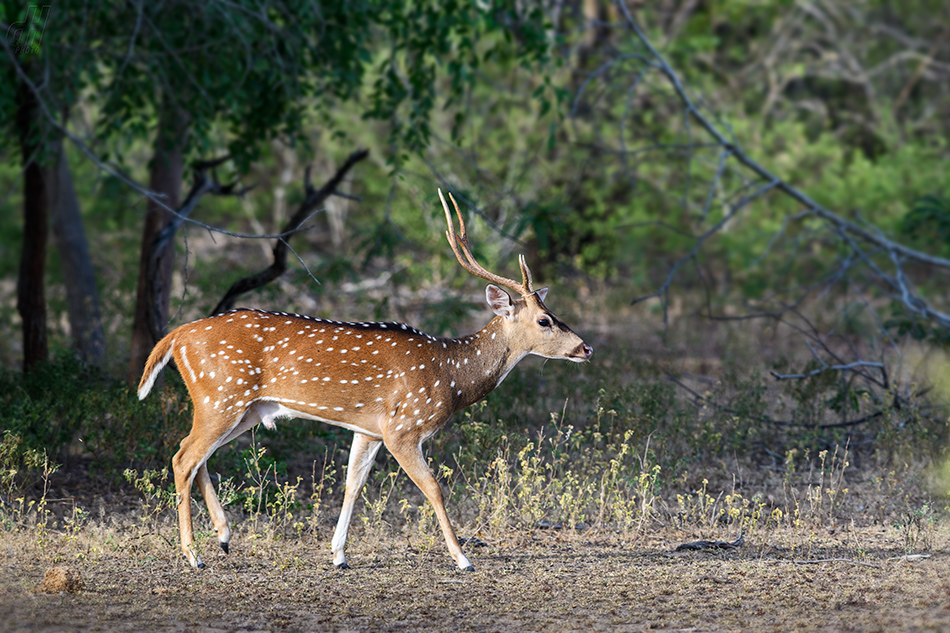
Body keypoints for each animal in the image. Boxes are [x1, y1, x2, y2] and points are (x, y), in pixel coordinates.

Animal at [139, 190, 596, 572]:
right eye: (545, 320)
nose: (586, 348)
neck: (449, 375)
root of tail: (177, 335)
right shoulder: (403, 427)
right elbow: (433, 487)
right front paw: (463, 558)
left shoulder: (369, 429)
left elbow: (352, 485)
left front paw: (339, 555)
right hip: (221, 396)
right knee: (183, 457)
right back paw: (194, 555)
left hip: (245, 409)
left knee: (193, 454)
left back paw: (224, 536)